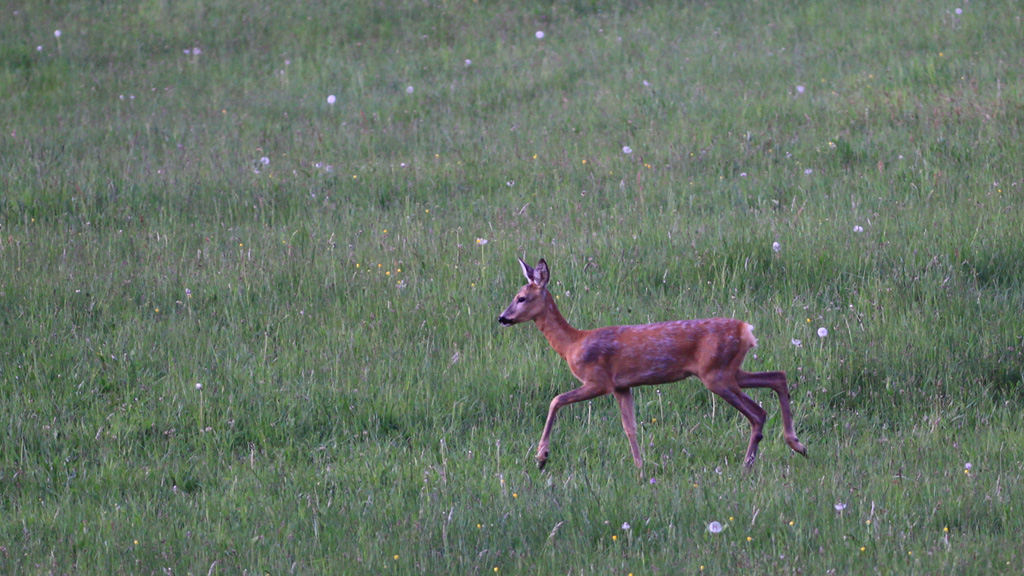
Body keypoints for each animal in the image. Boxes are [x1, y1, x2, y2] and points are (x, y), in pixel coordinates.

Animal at [497, 258, 806, 469]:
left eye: (521, 298)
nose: (502, 318)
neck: (573, 344)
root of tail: (746, 330)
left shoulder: (598, 380)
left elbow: (556, 400)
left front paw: (541, 456)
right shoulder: (622, 387)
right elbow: (630, 427)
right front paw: (640, 469)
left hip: (716, 375)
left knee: (758, 412)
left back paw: (749, 464)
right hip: (729, 370)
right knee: (777, 376)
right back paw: (796, 445)